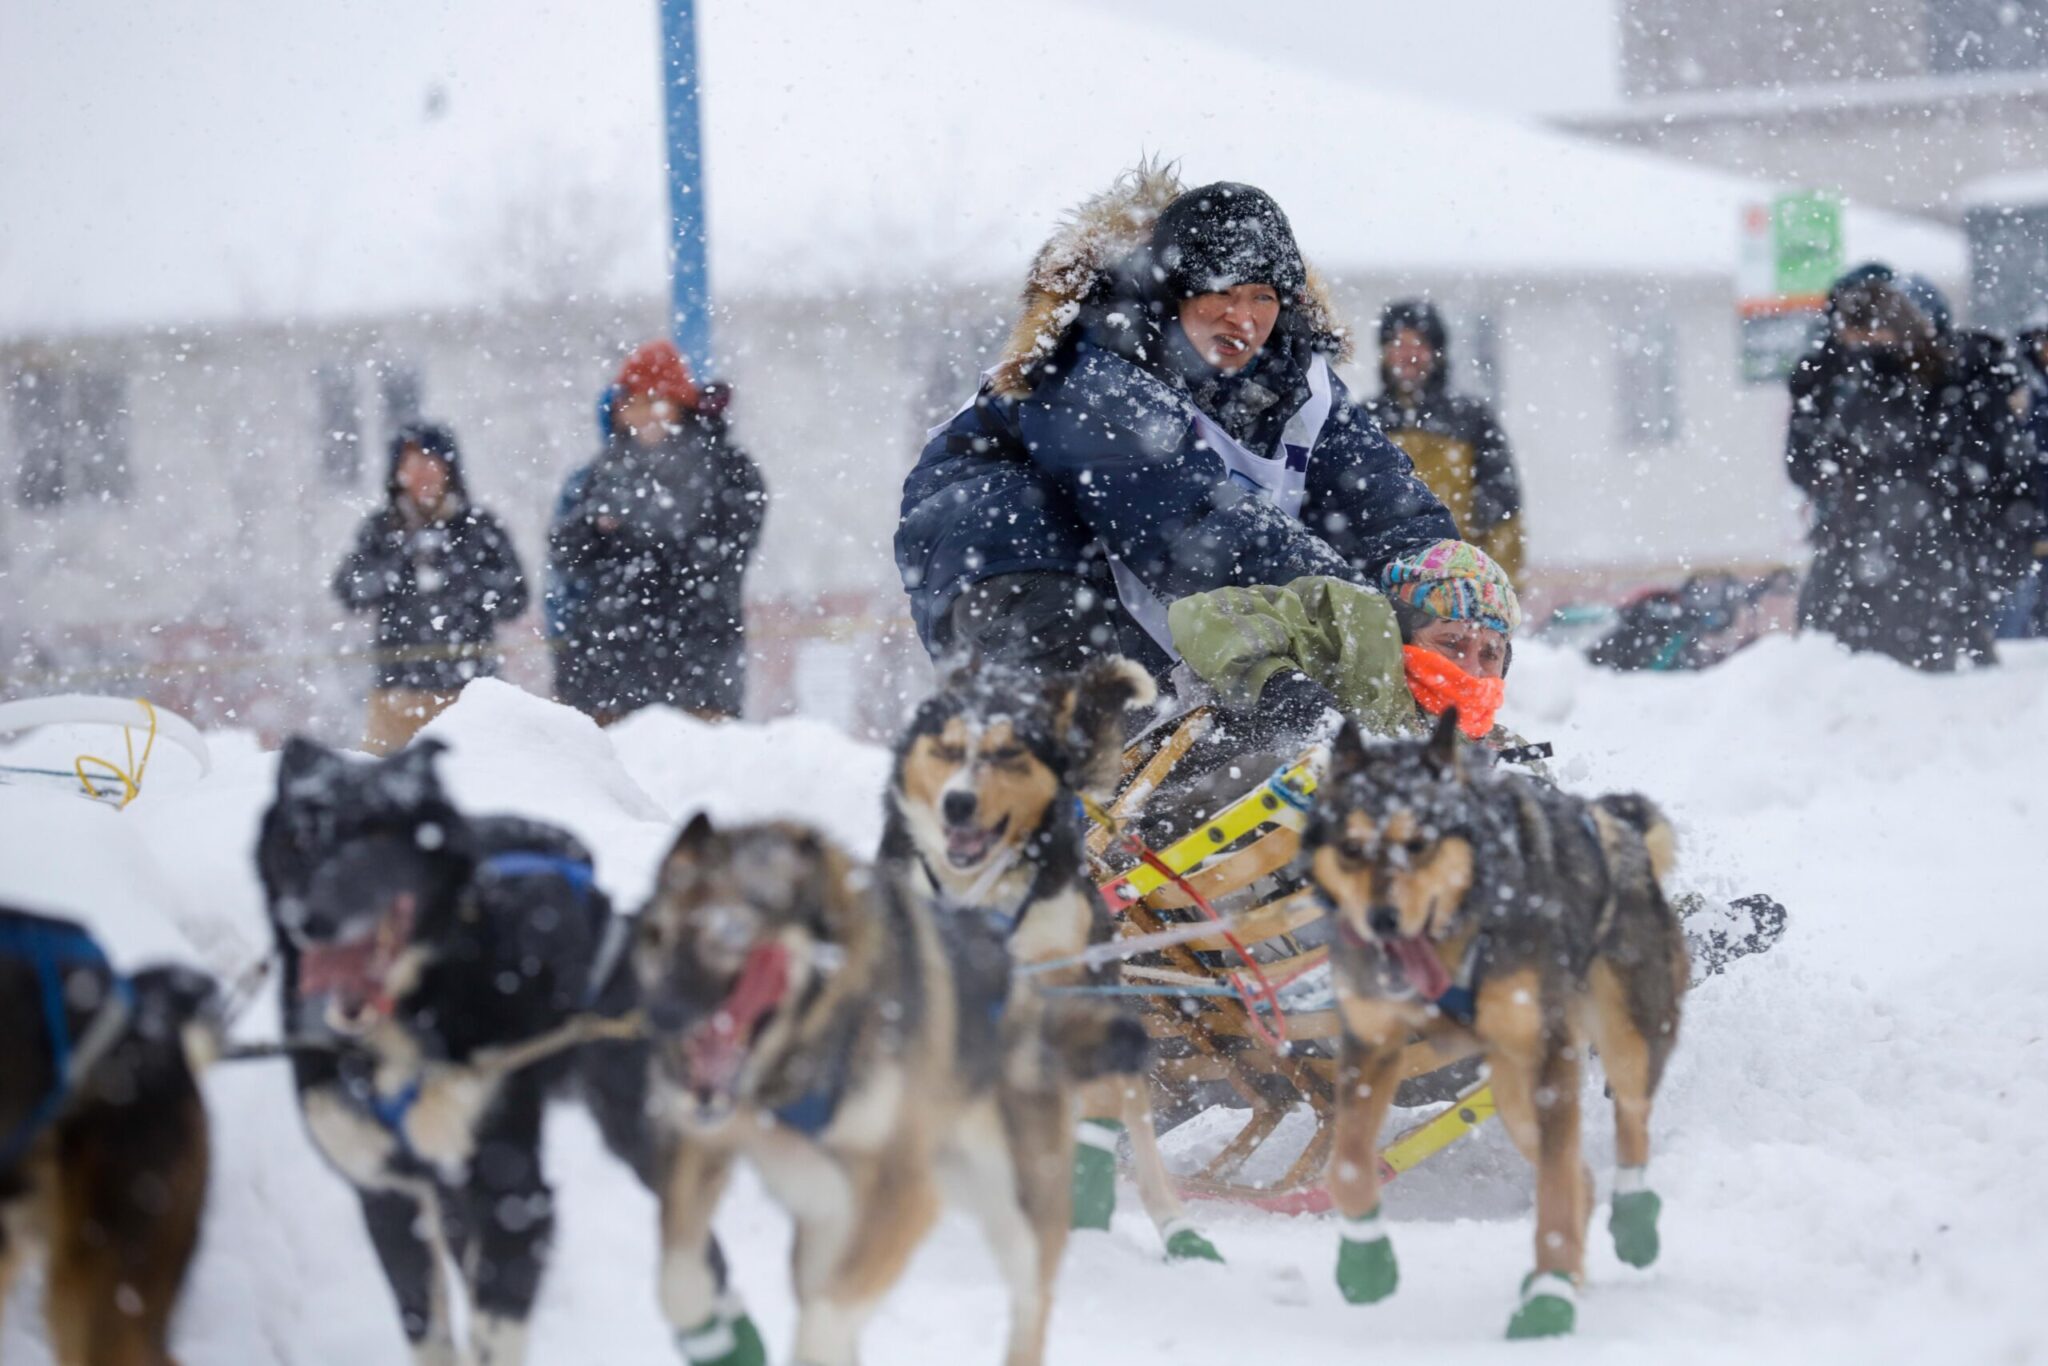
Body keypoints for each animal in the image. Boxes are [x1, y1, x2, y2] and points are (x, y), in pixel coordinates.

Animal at [258, 737, 638, 1366]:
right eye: (300, 841)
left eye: (379, 837)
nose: (310, 918)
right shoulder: (386, 1196)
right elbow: (425, 1324)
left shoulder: (512, 1194)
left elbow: (495, 1326)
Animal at [610, 810, 1089, 1366]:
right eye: (657, 935)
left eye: (732, 931)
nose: (661, 1017)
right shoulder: (699, 1140)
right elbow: (678, 1283)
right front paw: (707, 1326)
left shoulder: (905, 1193)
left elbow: (822, 1326)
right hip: (827, 1222)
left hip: (1017, 1218)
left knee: (1033, 1303)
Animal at [1302, 712, 1687, 1343]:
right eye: (1353, 848)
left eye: (1419, 843)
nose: (1382, 920)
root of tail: (1612, 823)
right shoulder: (1370, 1046)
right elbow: (1350, 1164)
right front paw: (1365, 1261)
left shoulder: (1552, 1058)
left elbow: (1553, 1195)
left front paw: (1549, 1304)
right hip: (1510, 1094)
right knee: (1578, 1172)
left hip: (1624, 1037)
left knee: (1628, 1124)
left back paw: (1629, 1226)